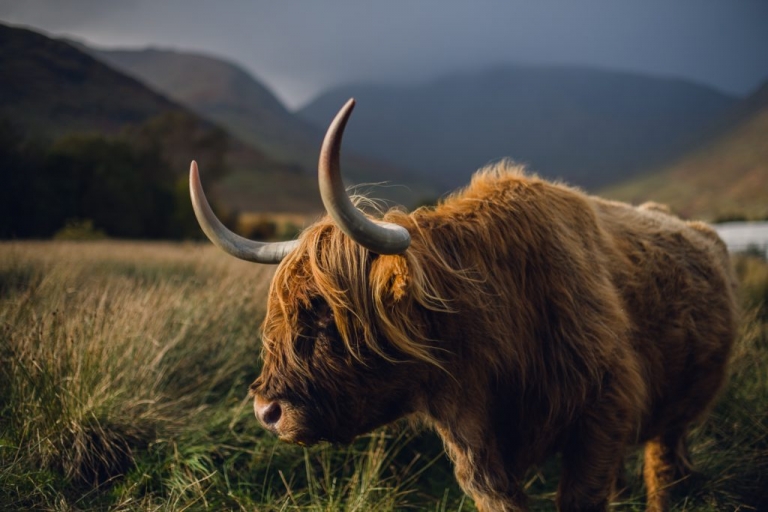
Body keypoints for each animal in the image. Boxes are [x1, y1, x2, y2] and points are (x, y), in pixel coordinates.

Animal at [188, 100, 736, 512]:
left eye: (326, 312)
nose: (266, 411)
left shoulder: (602, 415)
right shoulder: (478, 453)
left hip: (679, 412)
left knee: (664, 470)